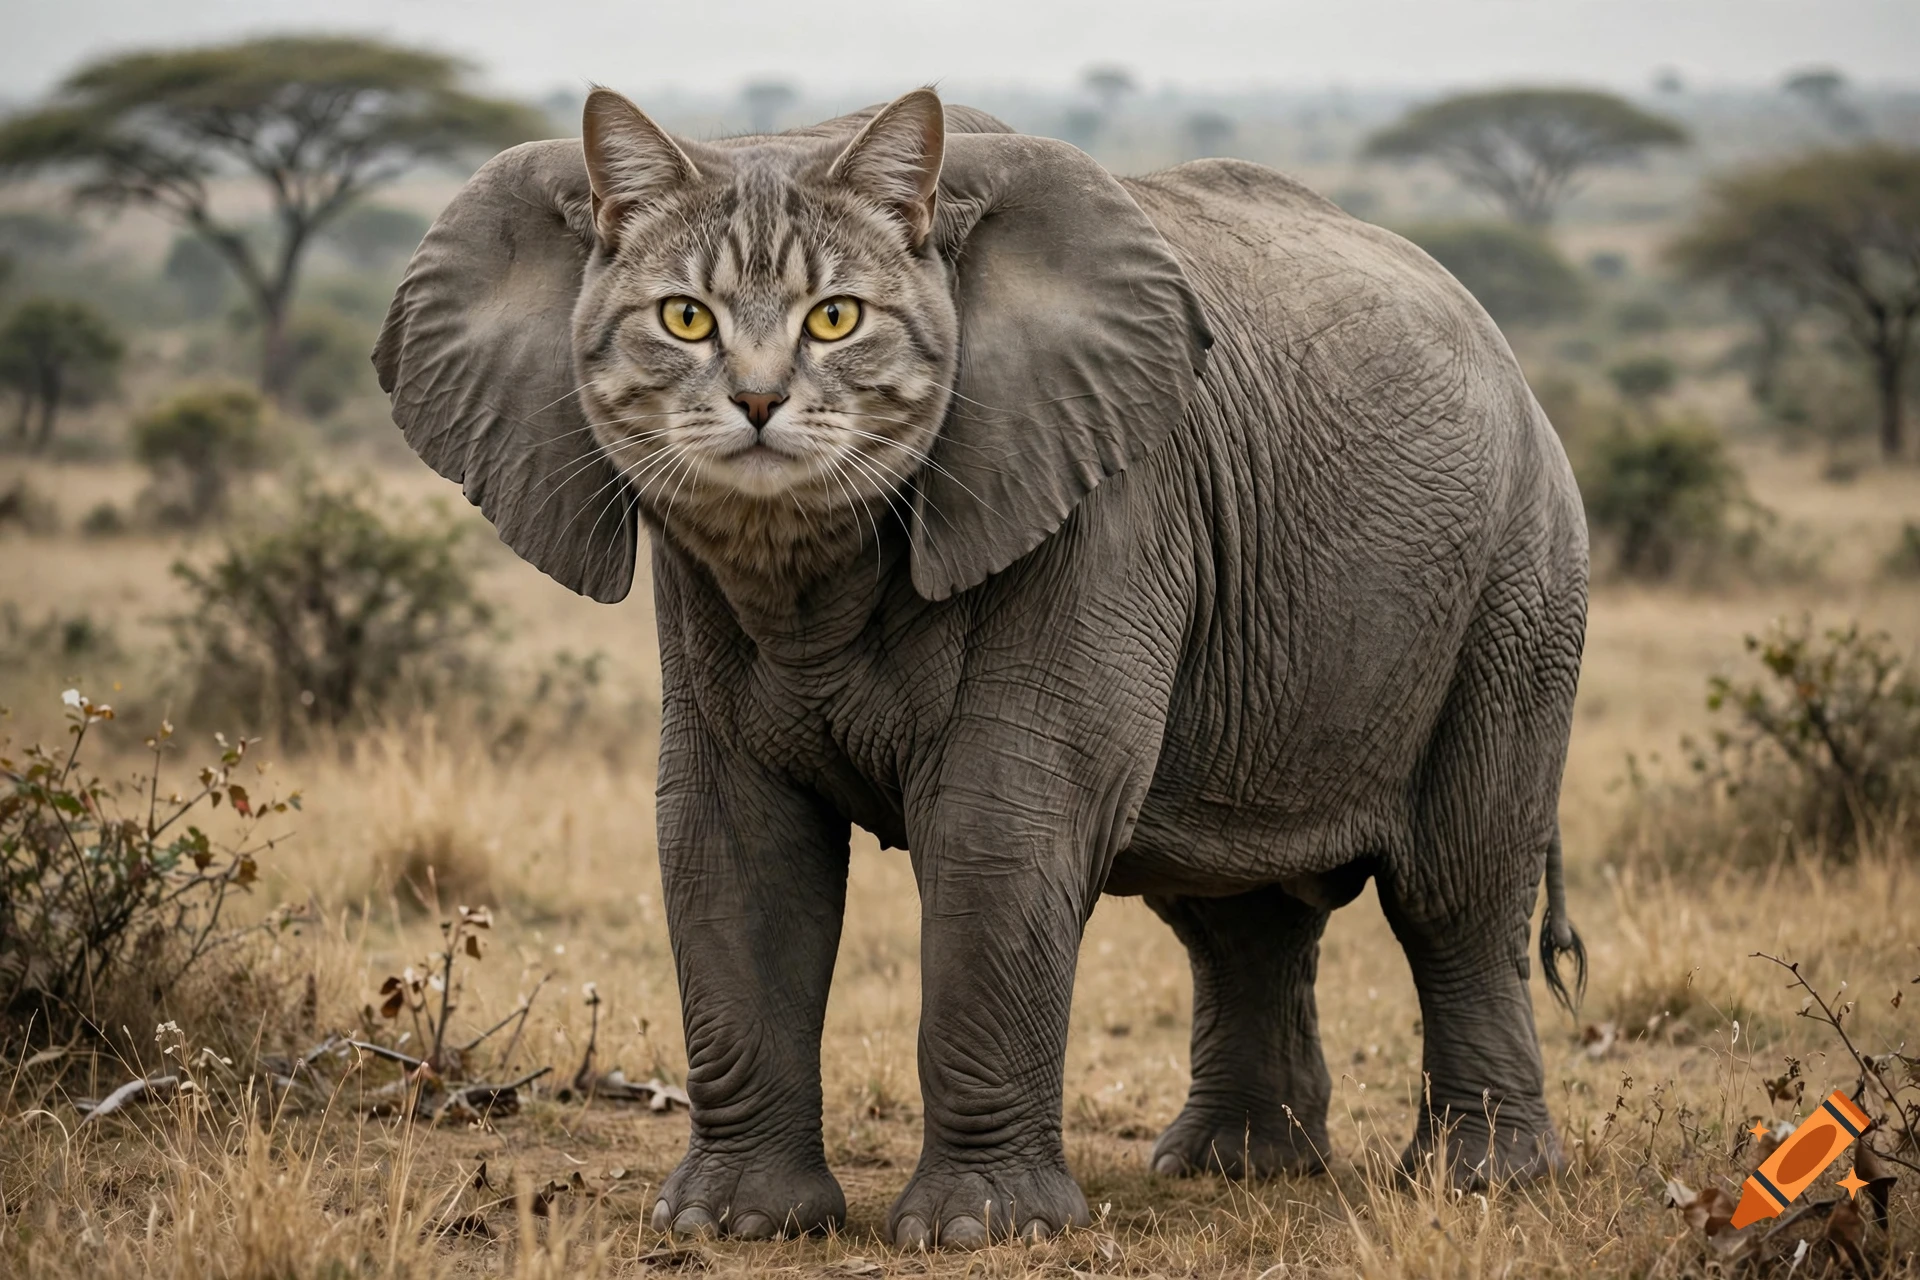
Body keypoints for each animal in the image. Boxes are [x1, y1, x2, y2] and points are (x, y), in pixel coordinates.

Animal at [374, 87, 1588, 1249]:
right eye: (683, 319)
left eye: (837, 319)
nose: (758, 405)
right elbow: (727, 840)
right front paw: (731, 1223)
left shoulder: (1105, 496)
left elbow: (1003, 821)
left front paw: (979, 1230)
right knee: (1236, 912)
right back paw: (1233, 1168)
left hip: (1519, 587)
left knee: (1458, 885)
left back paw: (1480, 1180)